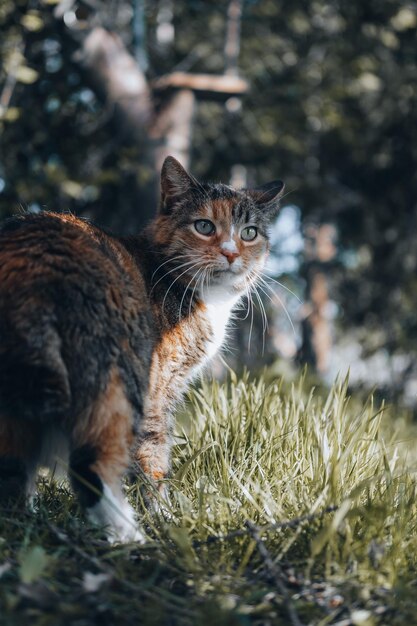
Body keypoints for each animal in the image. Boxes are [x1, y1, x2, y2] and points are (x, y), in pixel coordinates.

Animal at [0, 157, 282, 540]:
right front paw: (164, 514)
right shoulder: (159, 386)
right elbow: (155, 453)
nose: (230, 252)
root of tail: (37, 262)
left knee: (14, 468)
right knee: (90, 466)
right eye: (204, 226)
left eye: (249, 233)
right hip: (119, 375)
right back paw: (129, 536)